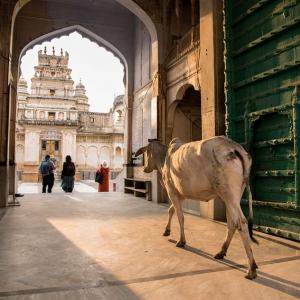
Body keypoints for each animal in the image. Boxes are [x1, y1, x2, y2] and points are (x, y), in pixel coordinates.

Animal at [135, 135, 258, 278]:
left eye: (147, 152)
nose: (144, 169)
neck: (165, 159)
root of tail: (234, 147)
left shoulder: (172, 191)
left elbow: (180, 216)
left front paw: (181, 241)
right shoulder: (181, 194)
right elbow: (171, 210)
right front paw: (167, 230)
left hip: (228, 194)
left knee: (241, 223)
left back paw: (251, 268)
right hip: (232, 197)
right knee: (232, 223)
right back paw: (221, 252)